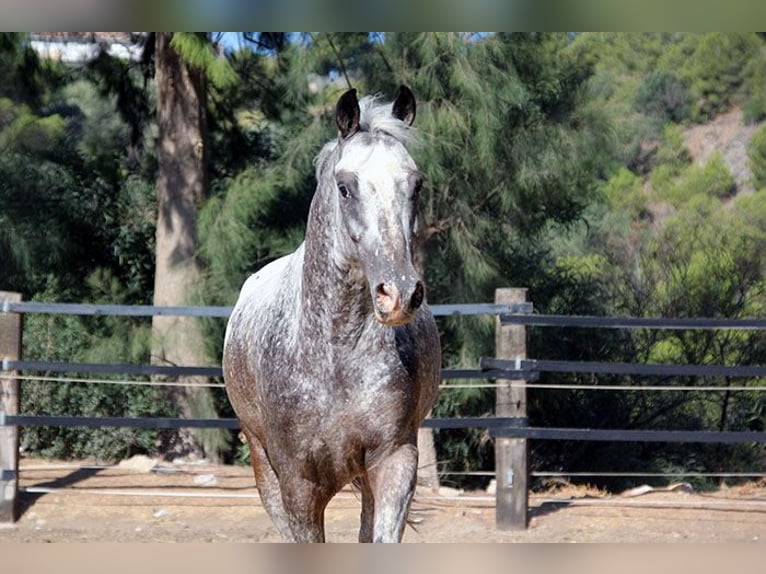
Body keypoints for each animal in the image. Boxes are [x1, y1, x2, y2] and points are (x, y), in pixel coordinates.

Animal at [222, 85, 440, 544]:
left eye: (415, 185)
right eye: (345, 187)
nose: (399, 293)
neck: (336, 357)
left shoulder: (394, 462)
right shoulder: (298, 485)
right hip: (263, 467)